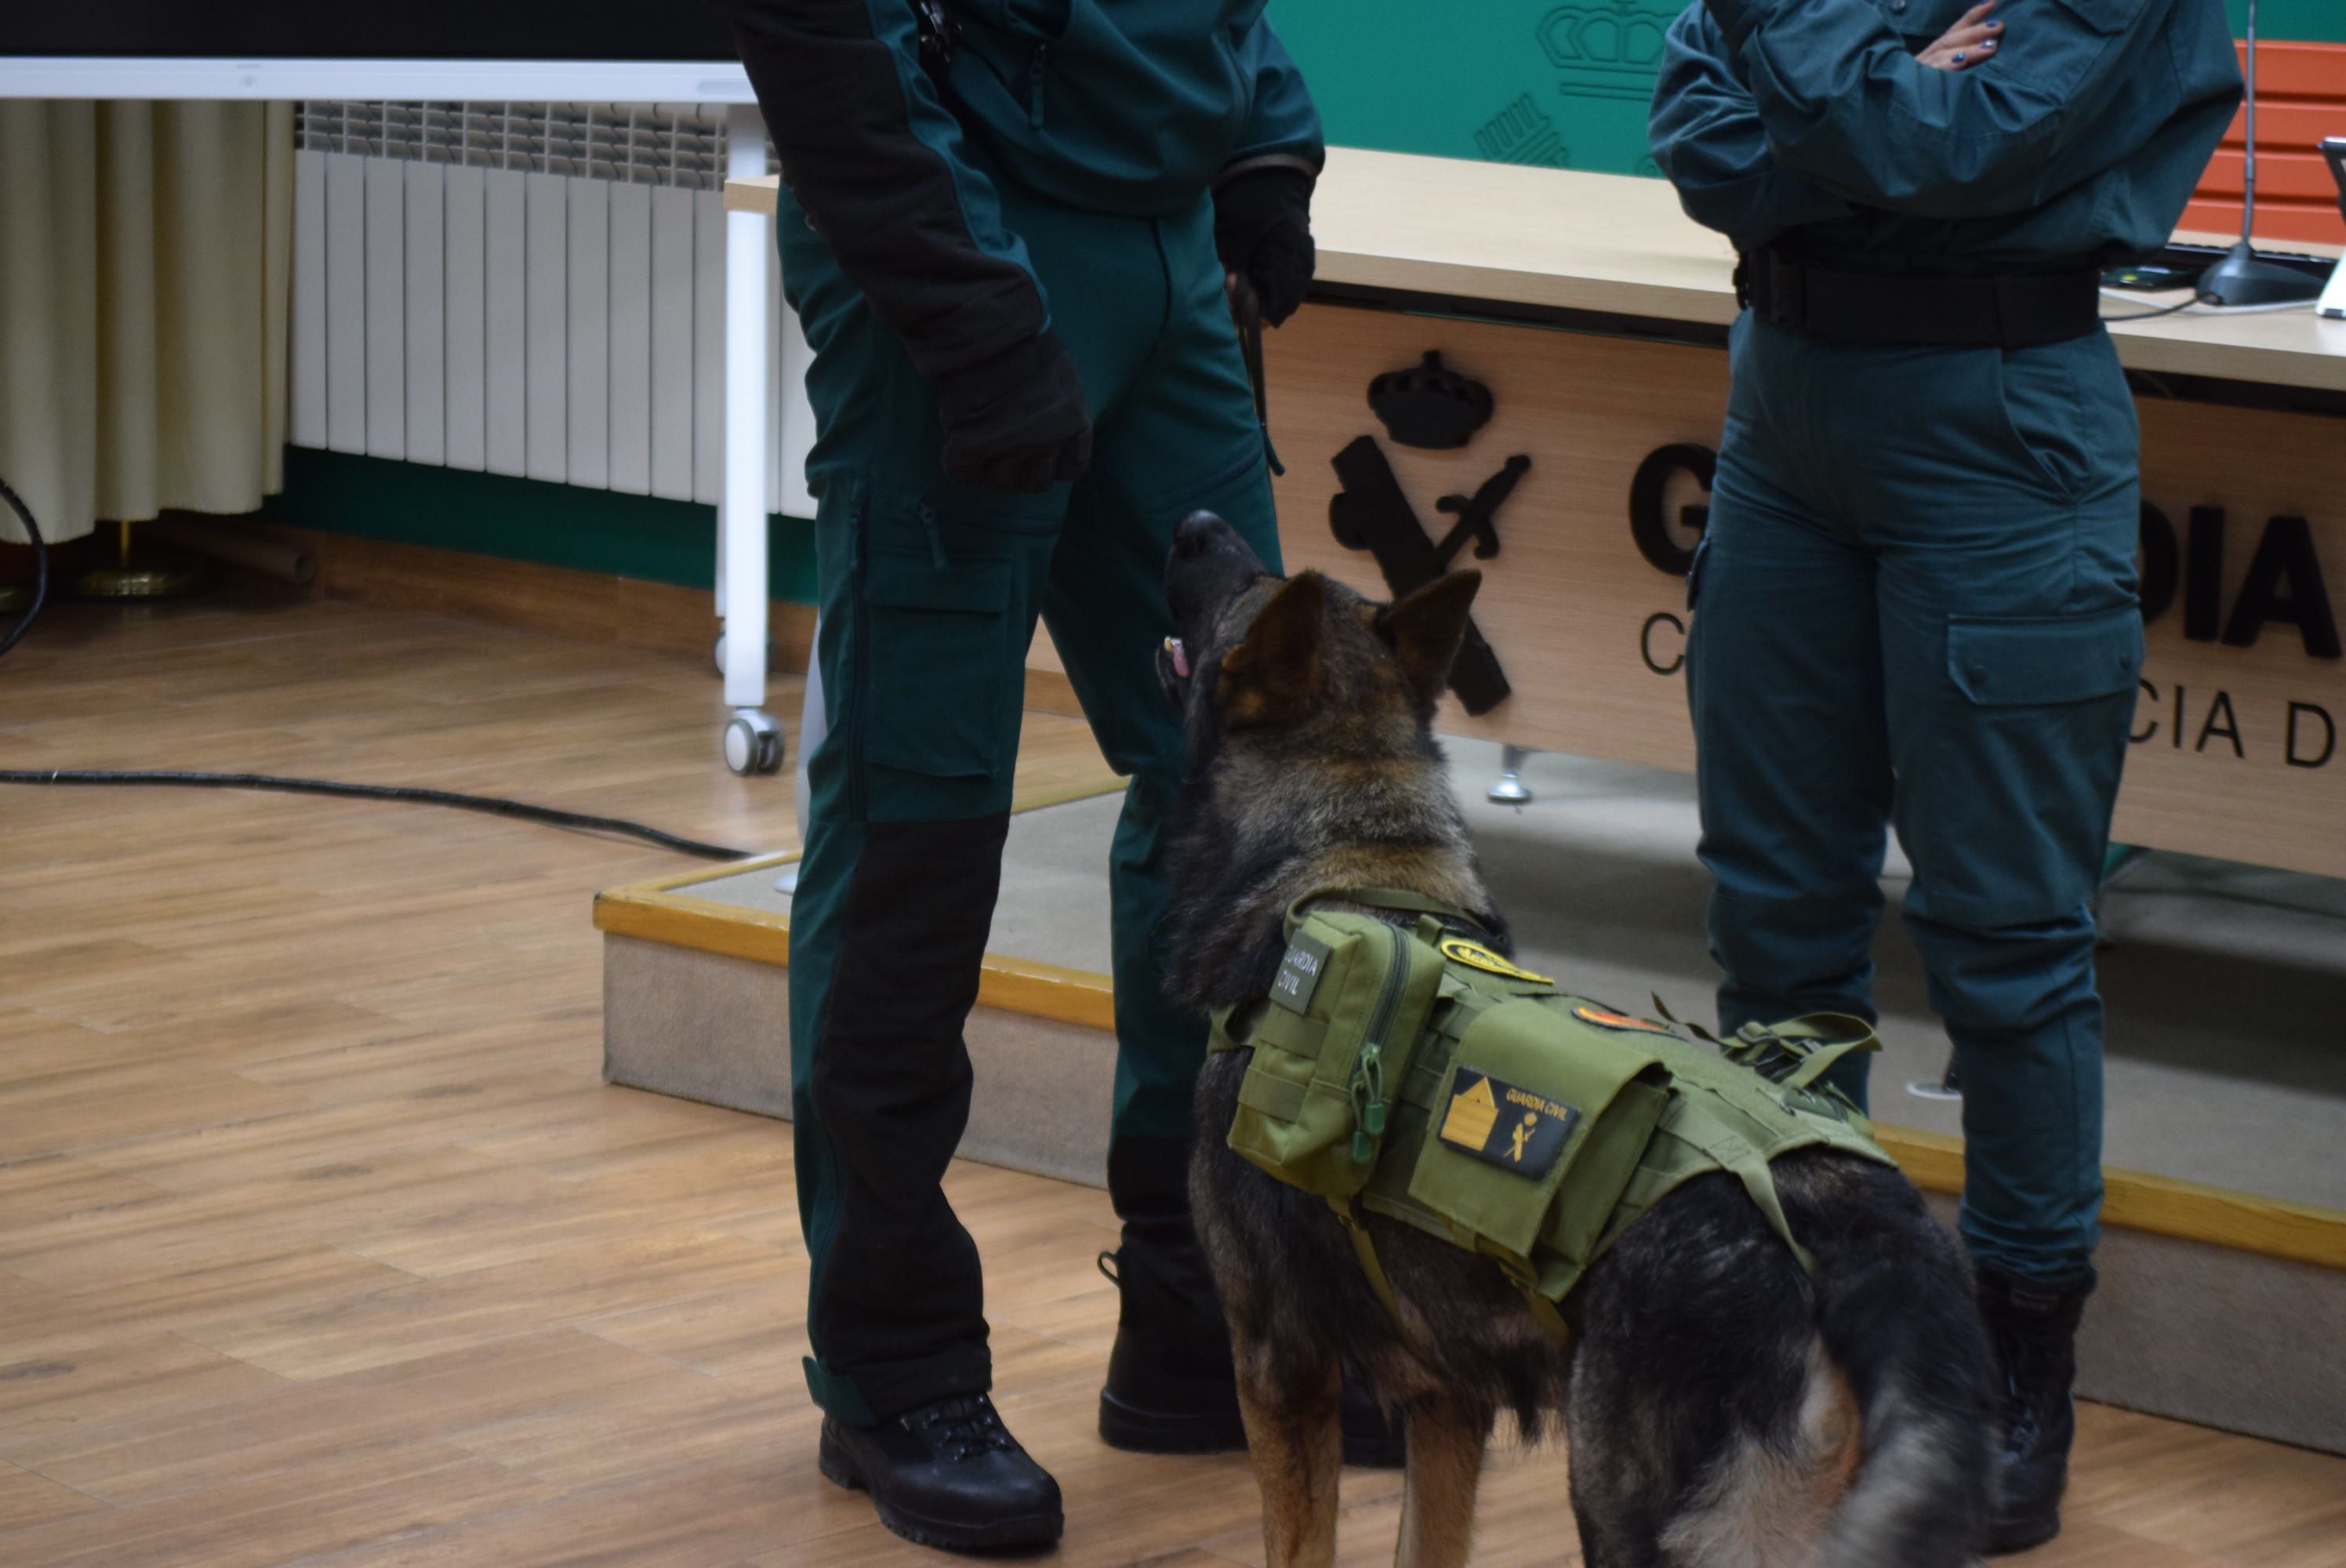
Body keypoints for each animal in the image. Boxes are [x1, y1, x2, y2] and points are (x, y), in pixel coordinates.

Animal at [1154, 509, 1999, 1559]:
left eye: (1244, 586)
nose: (1193, 521)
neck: (1347, 856)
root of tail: (1866, 1243)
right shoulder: (1445, 1402)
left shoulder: (1279, 1370)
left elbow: (1298, 1543)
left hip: (1630, 1510)